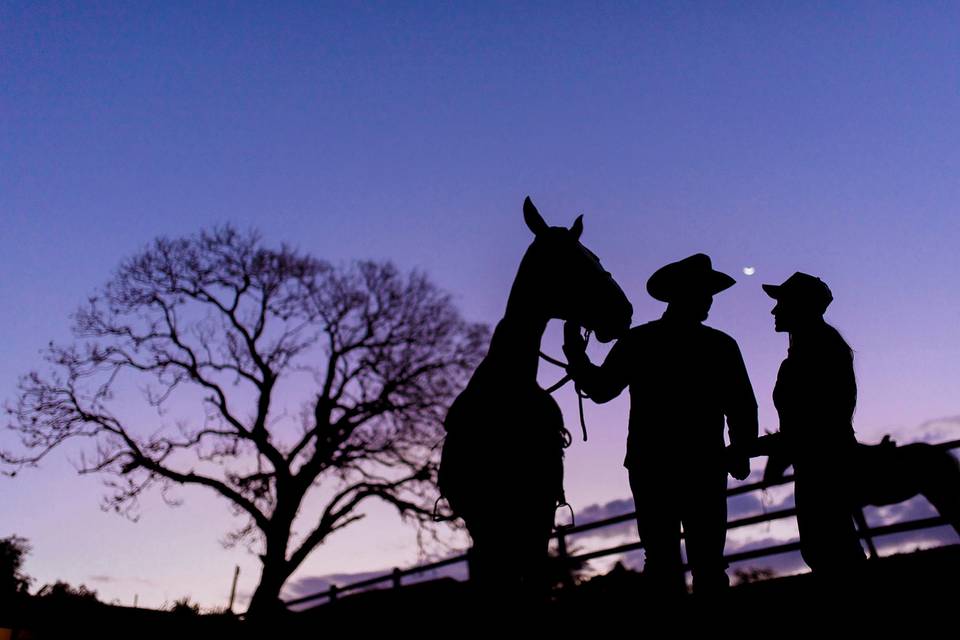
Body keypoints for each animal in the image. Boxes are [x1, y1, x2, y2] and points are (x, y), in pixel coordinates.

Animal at [440, 195, 632, 600]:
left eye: (594, 256)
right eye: (572, 261)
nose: (623, 312)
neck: (505, 398)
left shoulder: (539, 511)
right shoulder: (485, 519)